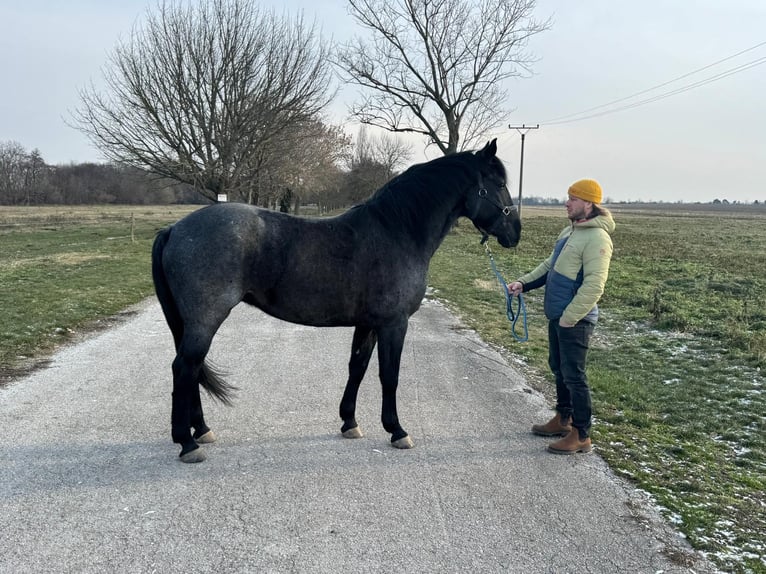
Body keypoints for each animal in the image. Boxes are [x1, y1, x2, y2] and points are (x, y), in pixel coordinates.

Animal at [151, 139, 521, 462]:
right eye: (499, 183)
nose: (514, 233)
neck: (397, 232)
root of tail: (174, 229)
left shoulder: (368, 324)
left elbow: (357, 368)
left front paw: (350, 423)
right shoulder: (394, 324)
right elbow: (389, 375)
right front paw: (397, 430)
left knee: (191, 369)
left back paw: (201, 430)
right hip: (205, 319)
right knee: (184, 368)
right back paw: (187, 443)